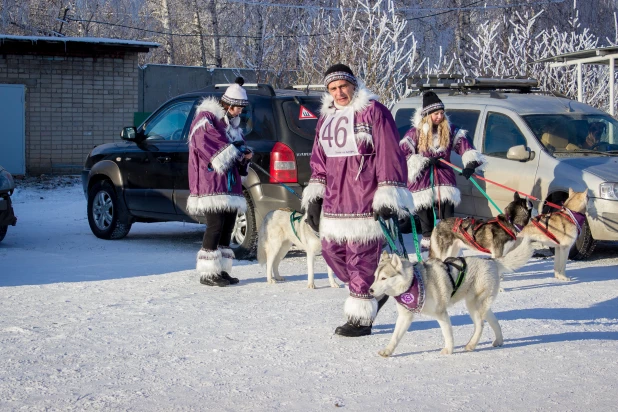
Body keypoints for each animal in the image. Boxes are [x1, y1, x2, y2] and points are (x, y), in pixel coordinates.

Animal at [368, 238, 532, 358]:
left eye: (384, 278)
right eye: (375, 277)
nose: (370, 290)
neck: (415, 281)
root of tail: (490, 261)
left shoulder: (441, 313)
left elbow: (447, 334)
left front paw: (448, 350)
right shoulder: (405, 316)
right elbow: (395, 336)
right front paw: (388, 351)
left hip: (474, 305)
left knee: (480, 325)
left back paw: (471, 344)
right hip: (480, 306)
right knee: (494, 322)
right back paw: (499, 340)